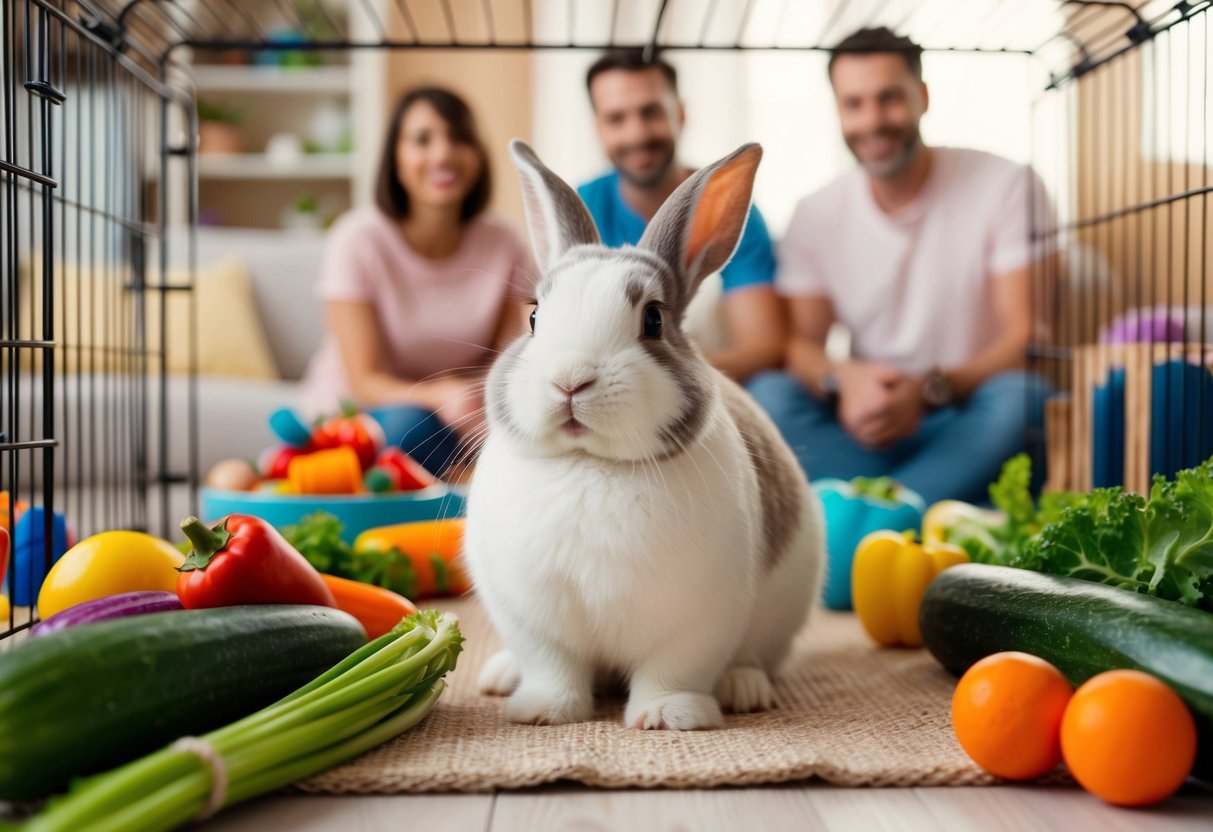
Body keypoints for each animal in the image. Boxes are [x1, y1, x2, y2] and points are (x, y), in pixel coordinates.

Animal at [461, 139, 825, 731]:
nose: (570, 380)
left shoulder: (698, 618)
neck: (591, 463)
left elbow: (672, 669)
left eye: (653, 319)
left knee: (753, 659)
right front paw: (542, 712)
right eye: (534, 318)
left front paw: (665, 717)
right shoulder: (534, 619)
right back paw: (501, 677)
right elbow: (552, 667)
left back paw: (745, 689)